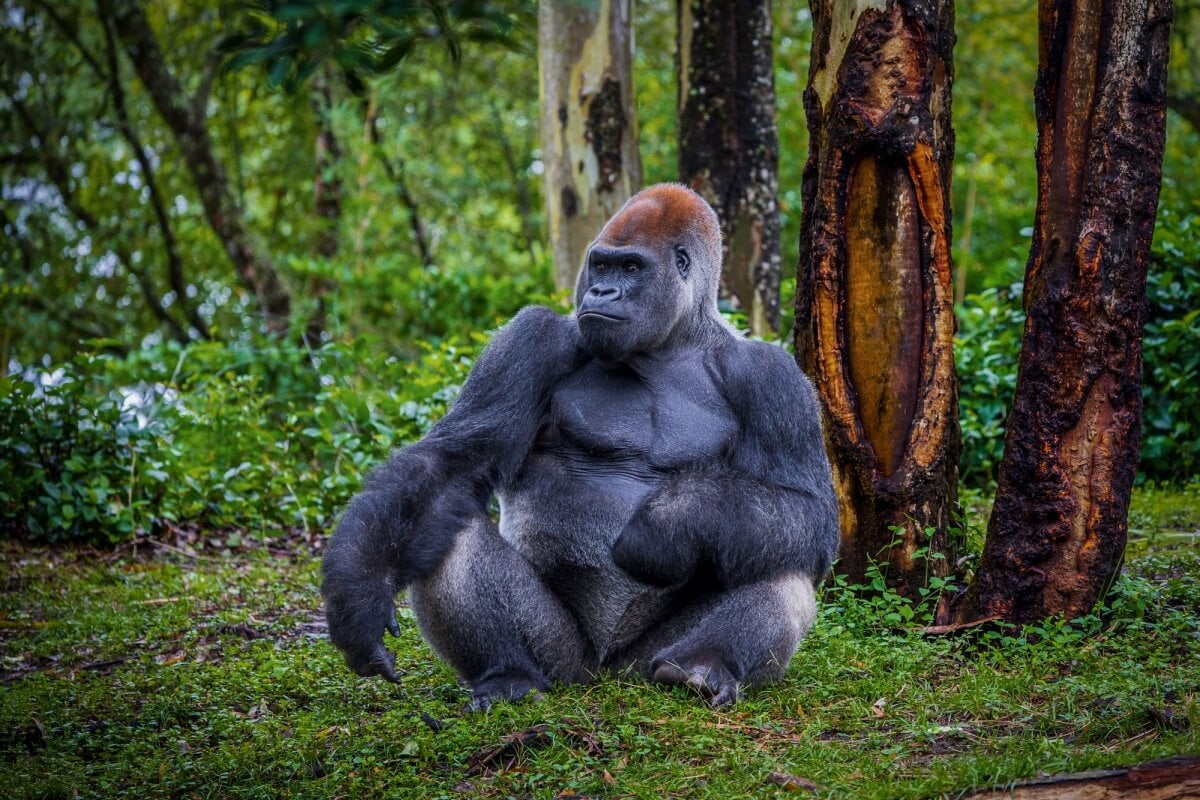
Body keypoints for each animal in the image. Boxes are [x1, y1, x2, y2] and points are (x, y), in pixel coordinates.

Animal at [324, 183, 840, 705]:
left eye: (630, 268)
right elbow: (451, 464)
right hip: (562, 658)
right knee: (452, 528)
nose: (600, 291)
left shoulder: (773, 377)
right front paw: (359, 596)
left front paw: (672, 518)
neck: (672, 342)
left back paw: (703, 666)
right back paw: (508, 673)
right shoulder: (532, 337)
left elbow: (809, 509)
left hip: (642, 660)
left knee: (779, 556)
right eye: (601, 266)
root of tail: (604, 671)